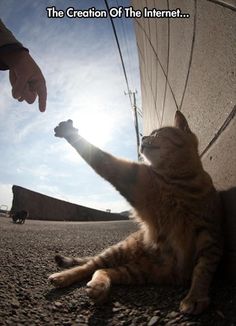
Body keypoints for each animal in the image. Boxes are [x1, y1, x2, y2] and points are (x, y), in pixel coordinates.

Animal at [48, 111, 222, 314]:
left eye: (157, 132)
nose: (144, 137)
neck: (178, 181)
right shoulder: (133, 178)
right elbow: (100, 157)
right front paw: (70, 133)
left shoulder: (210, 237)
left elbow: (203, 270)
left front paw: (195, 296)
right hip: (119, 251)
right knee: (90, 266)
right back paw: (63, 277)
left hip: (140, 271)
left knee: (103, 270)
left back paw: (99, 287)